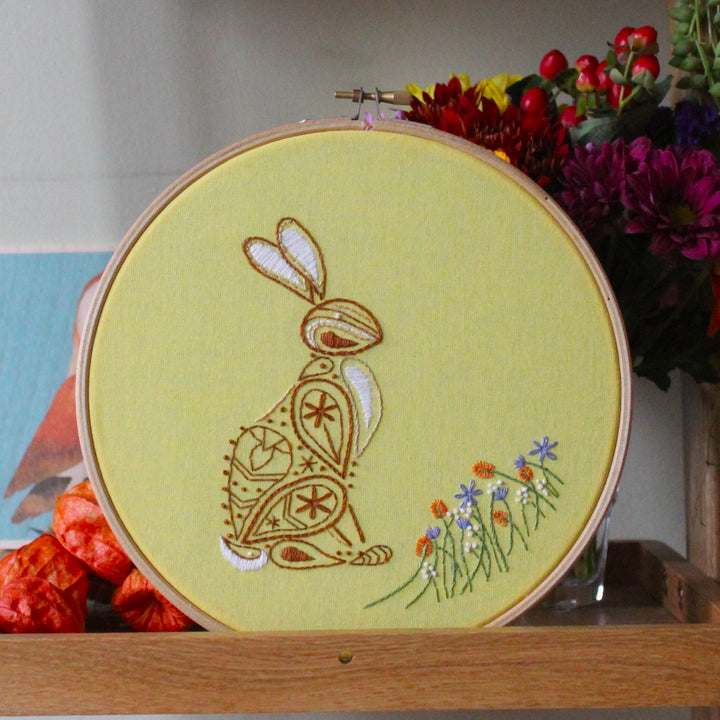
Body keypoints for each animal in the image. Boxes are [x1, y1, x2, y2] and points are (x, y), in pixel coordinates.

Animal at [218, 217, 390, 572]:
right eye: (339, 317)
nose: (378, 333)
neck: (335, 361)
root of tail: (243, 541)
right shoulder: (322, 404)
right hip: (321, 495)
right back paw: (352, 555)